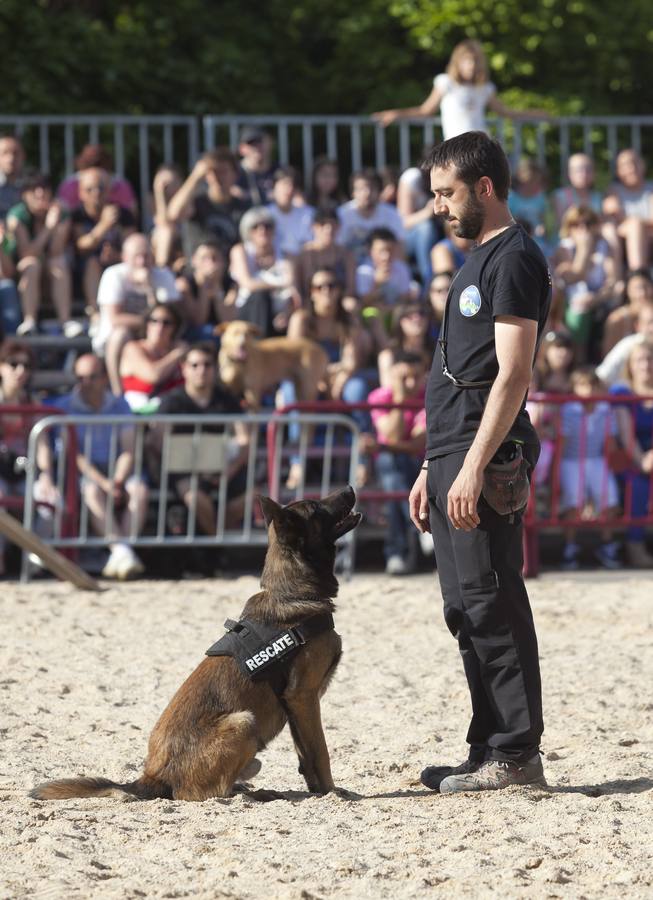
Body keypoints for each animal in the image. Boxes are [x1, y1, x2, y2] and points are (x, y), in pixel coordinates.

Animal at [30, 486, 362, 800]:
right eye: (316, 507)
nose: (349, 488)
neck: (292, 591)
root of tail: (152, 776)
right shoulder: (303, 697)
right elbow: (320, 752)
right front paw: (332, 792)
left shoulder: (297, 706)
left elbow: (306, 756)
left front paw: (319, 790)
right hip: (243, 722)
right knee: (202, 793)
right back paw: (257, 794)